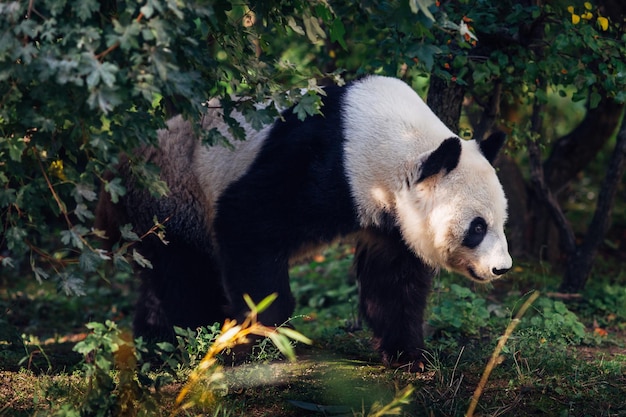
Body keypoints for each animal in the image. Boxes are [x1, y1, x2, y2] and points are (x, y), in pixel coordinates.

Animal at [95, 75, 510, 370]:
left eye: (501, 221)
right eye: (477, 227)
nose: (501, 268)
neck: (401, 140)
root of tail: (117, 167)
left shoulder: (391, 214)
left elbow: (393, 277)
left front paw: (409, 356)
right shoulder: (325, 165)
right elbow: (247, 220)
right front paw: (268, 337)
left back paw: (156, 345)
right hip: (171, 192)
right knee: (185, 276)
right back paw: (190, 340)